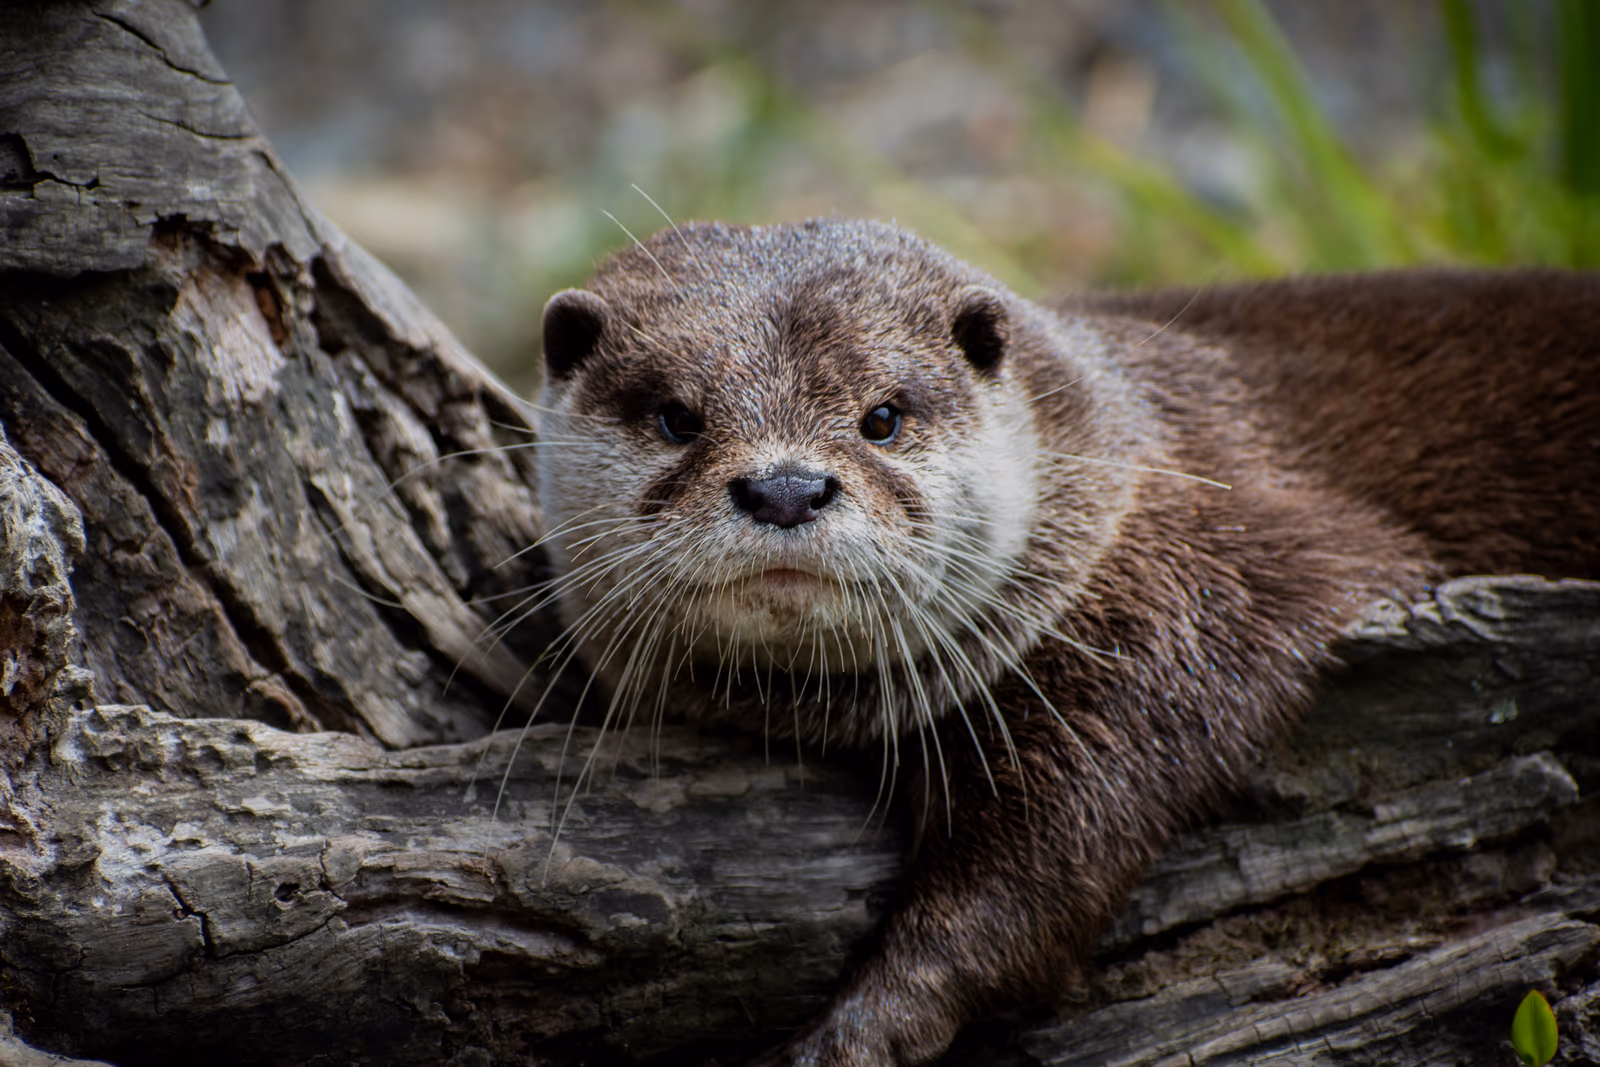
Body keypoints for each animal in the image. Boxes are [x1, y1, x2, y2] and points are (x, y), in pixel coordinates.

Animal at [533, 218, 1600, 1067]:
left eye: (882, 416)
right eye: (677, 417)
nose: (786, 488)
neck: (1123, 464)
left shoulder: (1194, 593)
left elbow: (1055, 849)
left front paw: (861, 1027)